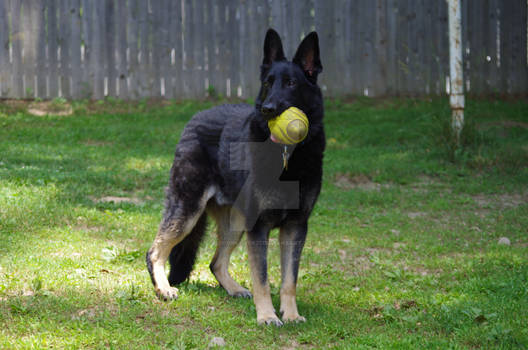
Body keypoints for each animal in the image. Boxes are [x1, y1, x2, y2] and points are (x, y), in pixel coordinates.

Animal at [146, 28, 324, 326]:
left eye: (290, 83)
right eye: (268, 83)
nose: (267, 108)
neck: (286, 155)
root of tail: (195, 118)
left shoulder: (296, 227)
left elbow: (289, 279)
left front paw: (291, 314)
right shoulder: (259, 228)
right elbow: (262, 277)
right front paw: (267, 316)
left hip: (235, 221)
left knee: (215, 262)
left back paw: (234, 289)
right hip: (188, 211)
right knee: (155, 251)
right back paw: (163, 289)